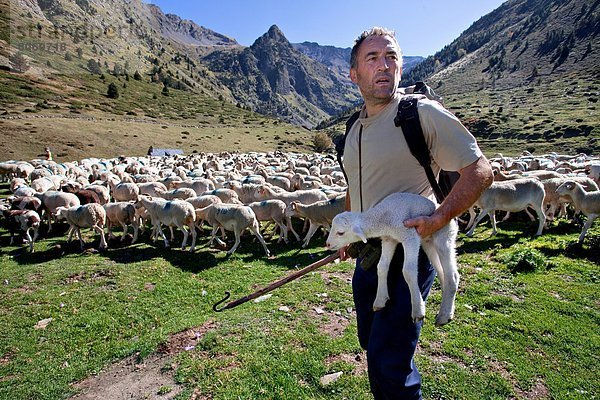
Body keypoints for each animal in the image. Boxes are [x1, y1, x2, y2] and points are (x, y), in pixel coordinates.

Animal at [326, 192, 458, 326]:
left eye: (340, 233)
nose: (327, 244)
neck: (384, 217)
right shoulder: (389, 239)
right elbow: (381, 266)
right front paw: (380, 300)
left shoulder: (410, 236)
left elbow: (408, 271)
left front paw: (418, 310)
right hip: (428, 243)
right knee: (442, 273)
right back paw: (448, 310)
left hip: (444, 235)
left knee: (452, 275)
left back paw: (444, 315)